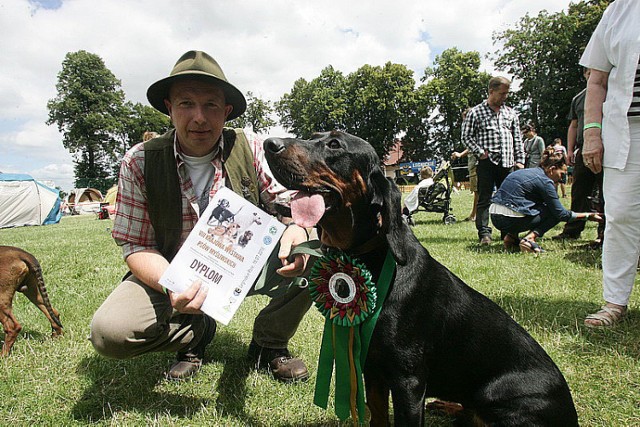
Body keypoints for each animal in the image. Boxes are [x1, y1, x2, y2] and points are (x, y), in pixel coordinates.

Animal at [262, 132, 576, 426]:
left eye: (335, 144)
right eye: (314, 137)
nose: (269, 144)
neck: (367, 260)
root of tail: (571, 415)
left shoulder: (408, 382)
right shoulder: (372, 367)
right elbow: (378, 416)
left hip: (499, 395)